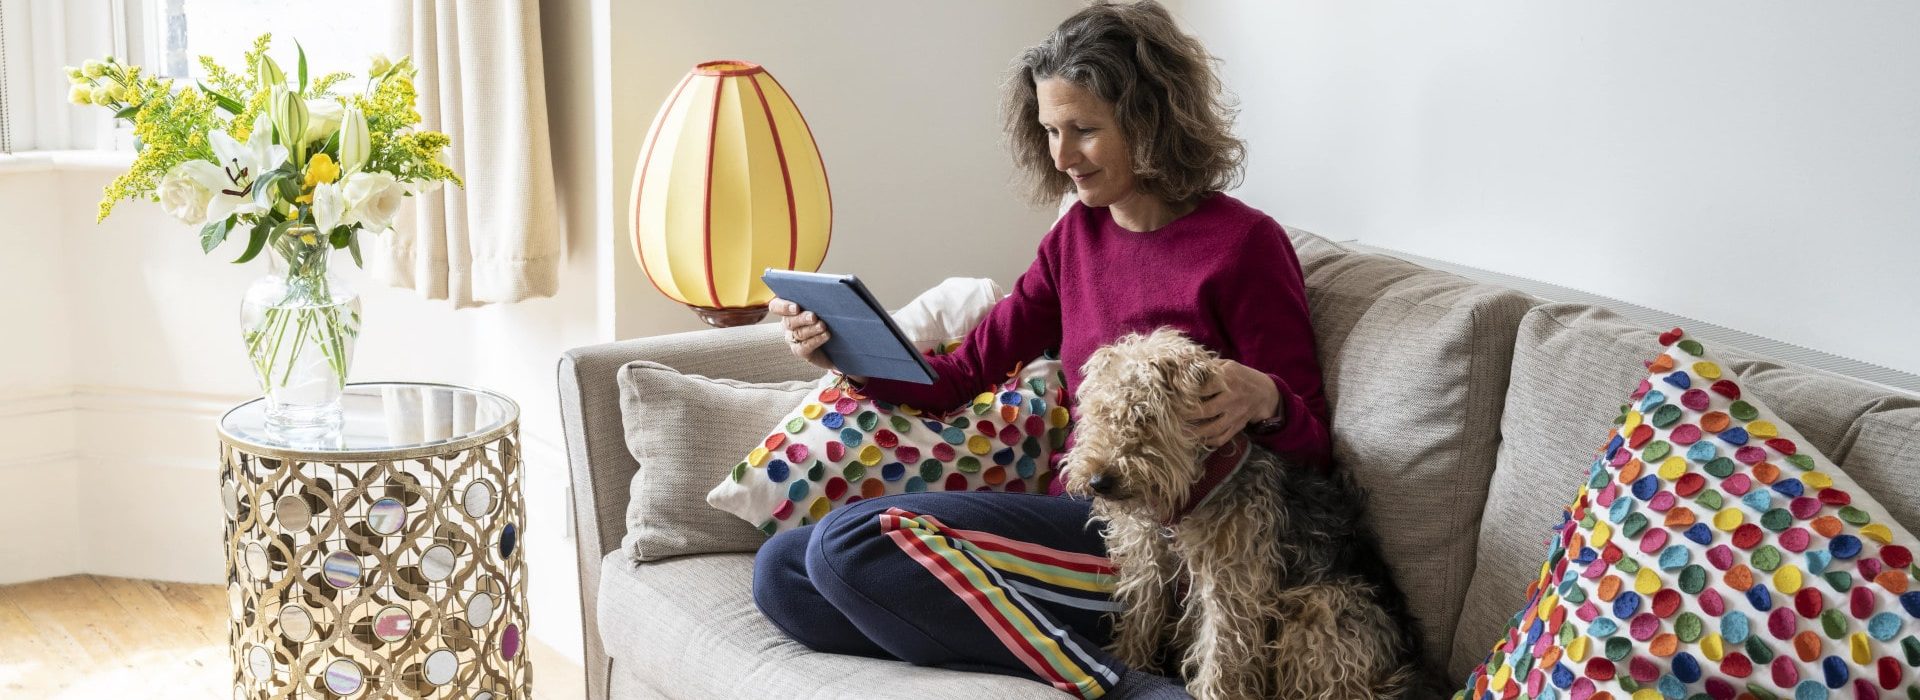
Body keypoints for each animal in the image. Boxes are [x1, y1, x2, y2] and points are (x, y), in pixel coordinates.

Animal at [1059, 327, 1436, 698]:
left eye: (1144, 415)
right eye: (1097, 412)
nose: (1098, 481)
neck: (1192, 492)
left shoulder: (1231, 587)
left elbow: (1222, 657)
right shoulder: (1148, 567)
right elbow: (1139, 623)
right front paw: (1130, 660)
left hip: (1320, 610)